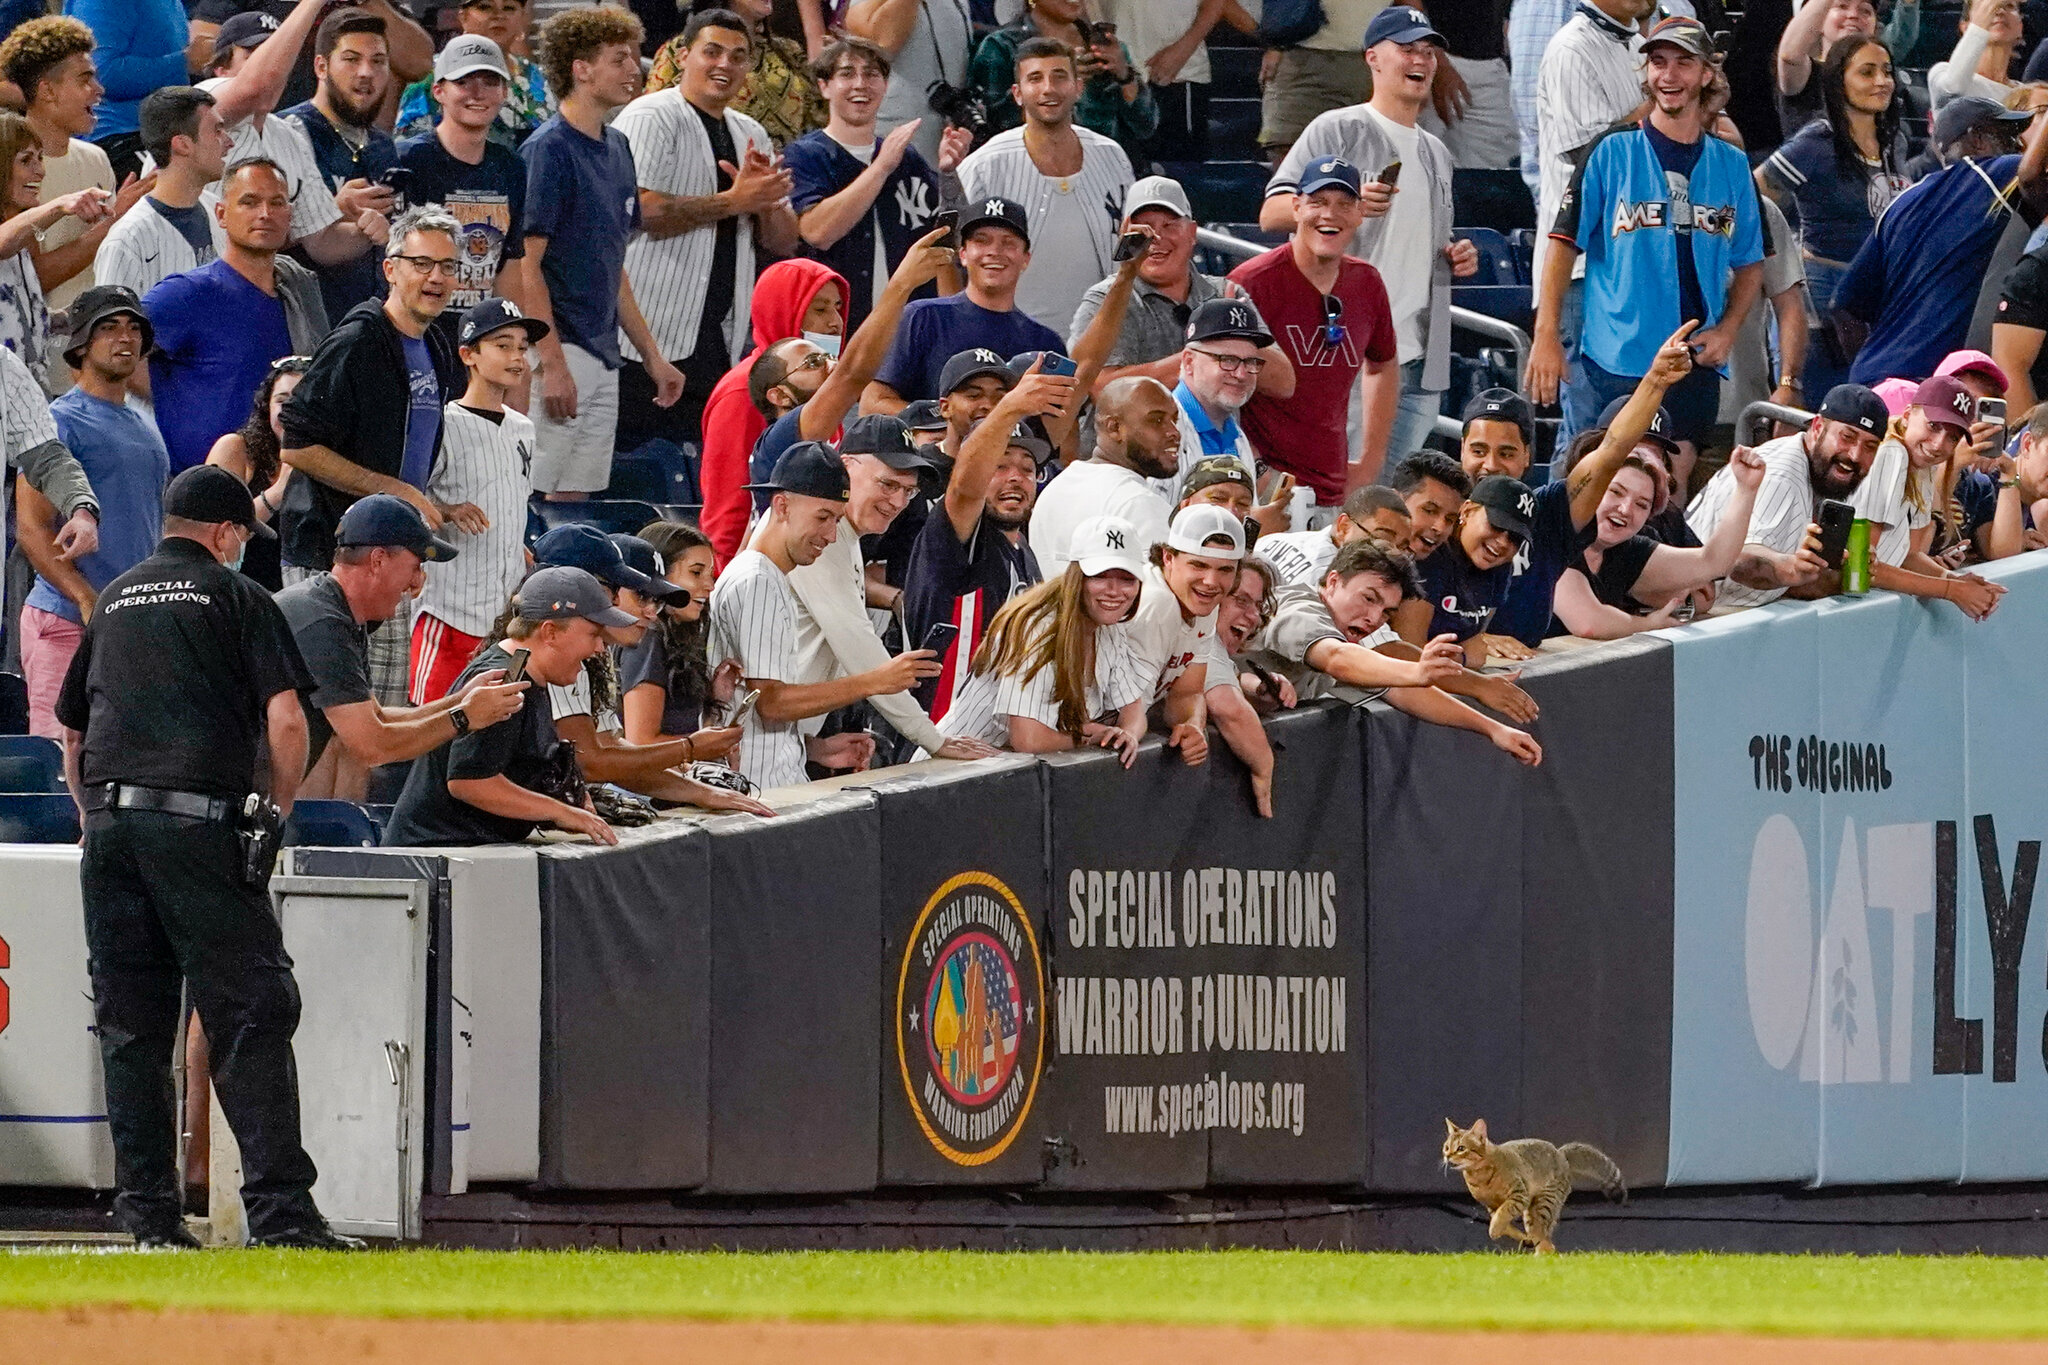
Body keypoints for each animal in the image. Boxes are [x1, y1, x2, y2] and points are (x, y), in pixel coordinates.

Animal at [1449, 1113, 1622, 1252]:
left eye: (1461, 1148)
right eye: (1446, 1148)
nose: (1447, 1157)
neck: (1479, 1177)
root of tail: (1560, 1154)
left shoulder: (1519, 1196)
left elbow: (1503, 1215)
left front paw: (1495, 1230)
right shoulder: (1491, 1206)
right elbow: (1504, 1223)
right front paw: (1520, 1237)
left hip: (1542, 1205)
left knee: (1547, 1244)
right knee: (1545, 1241)